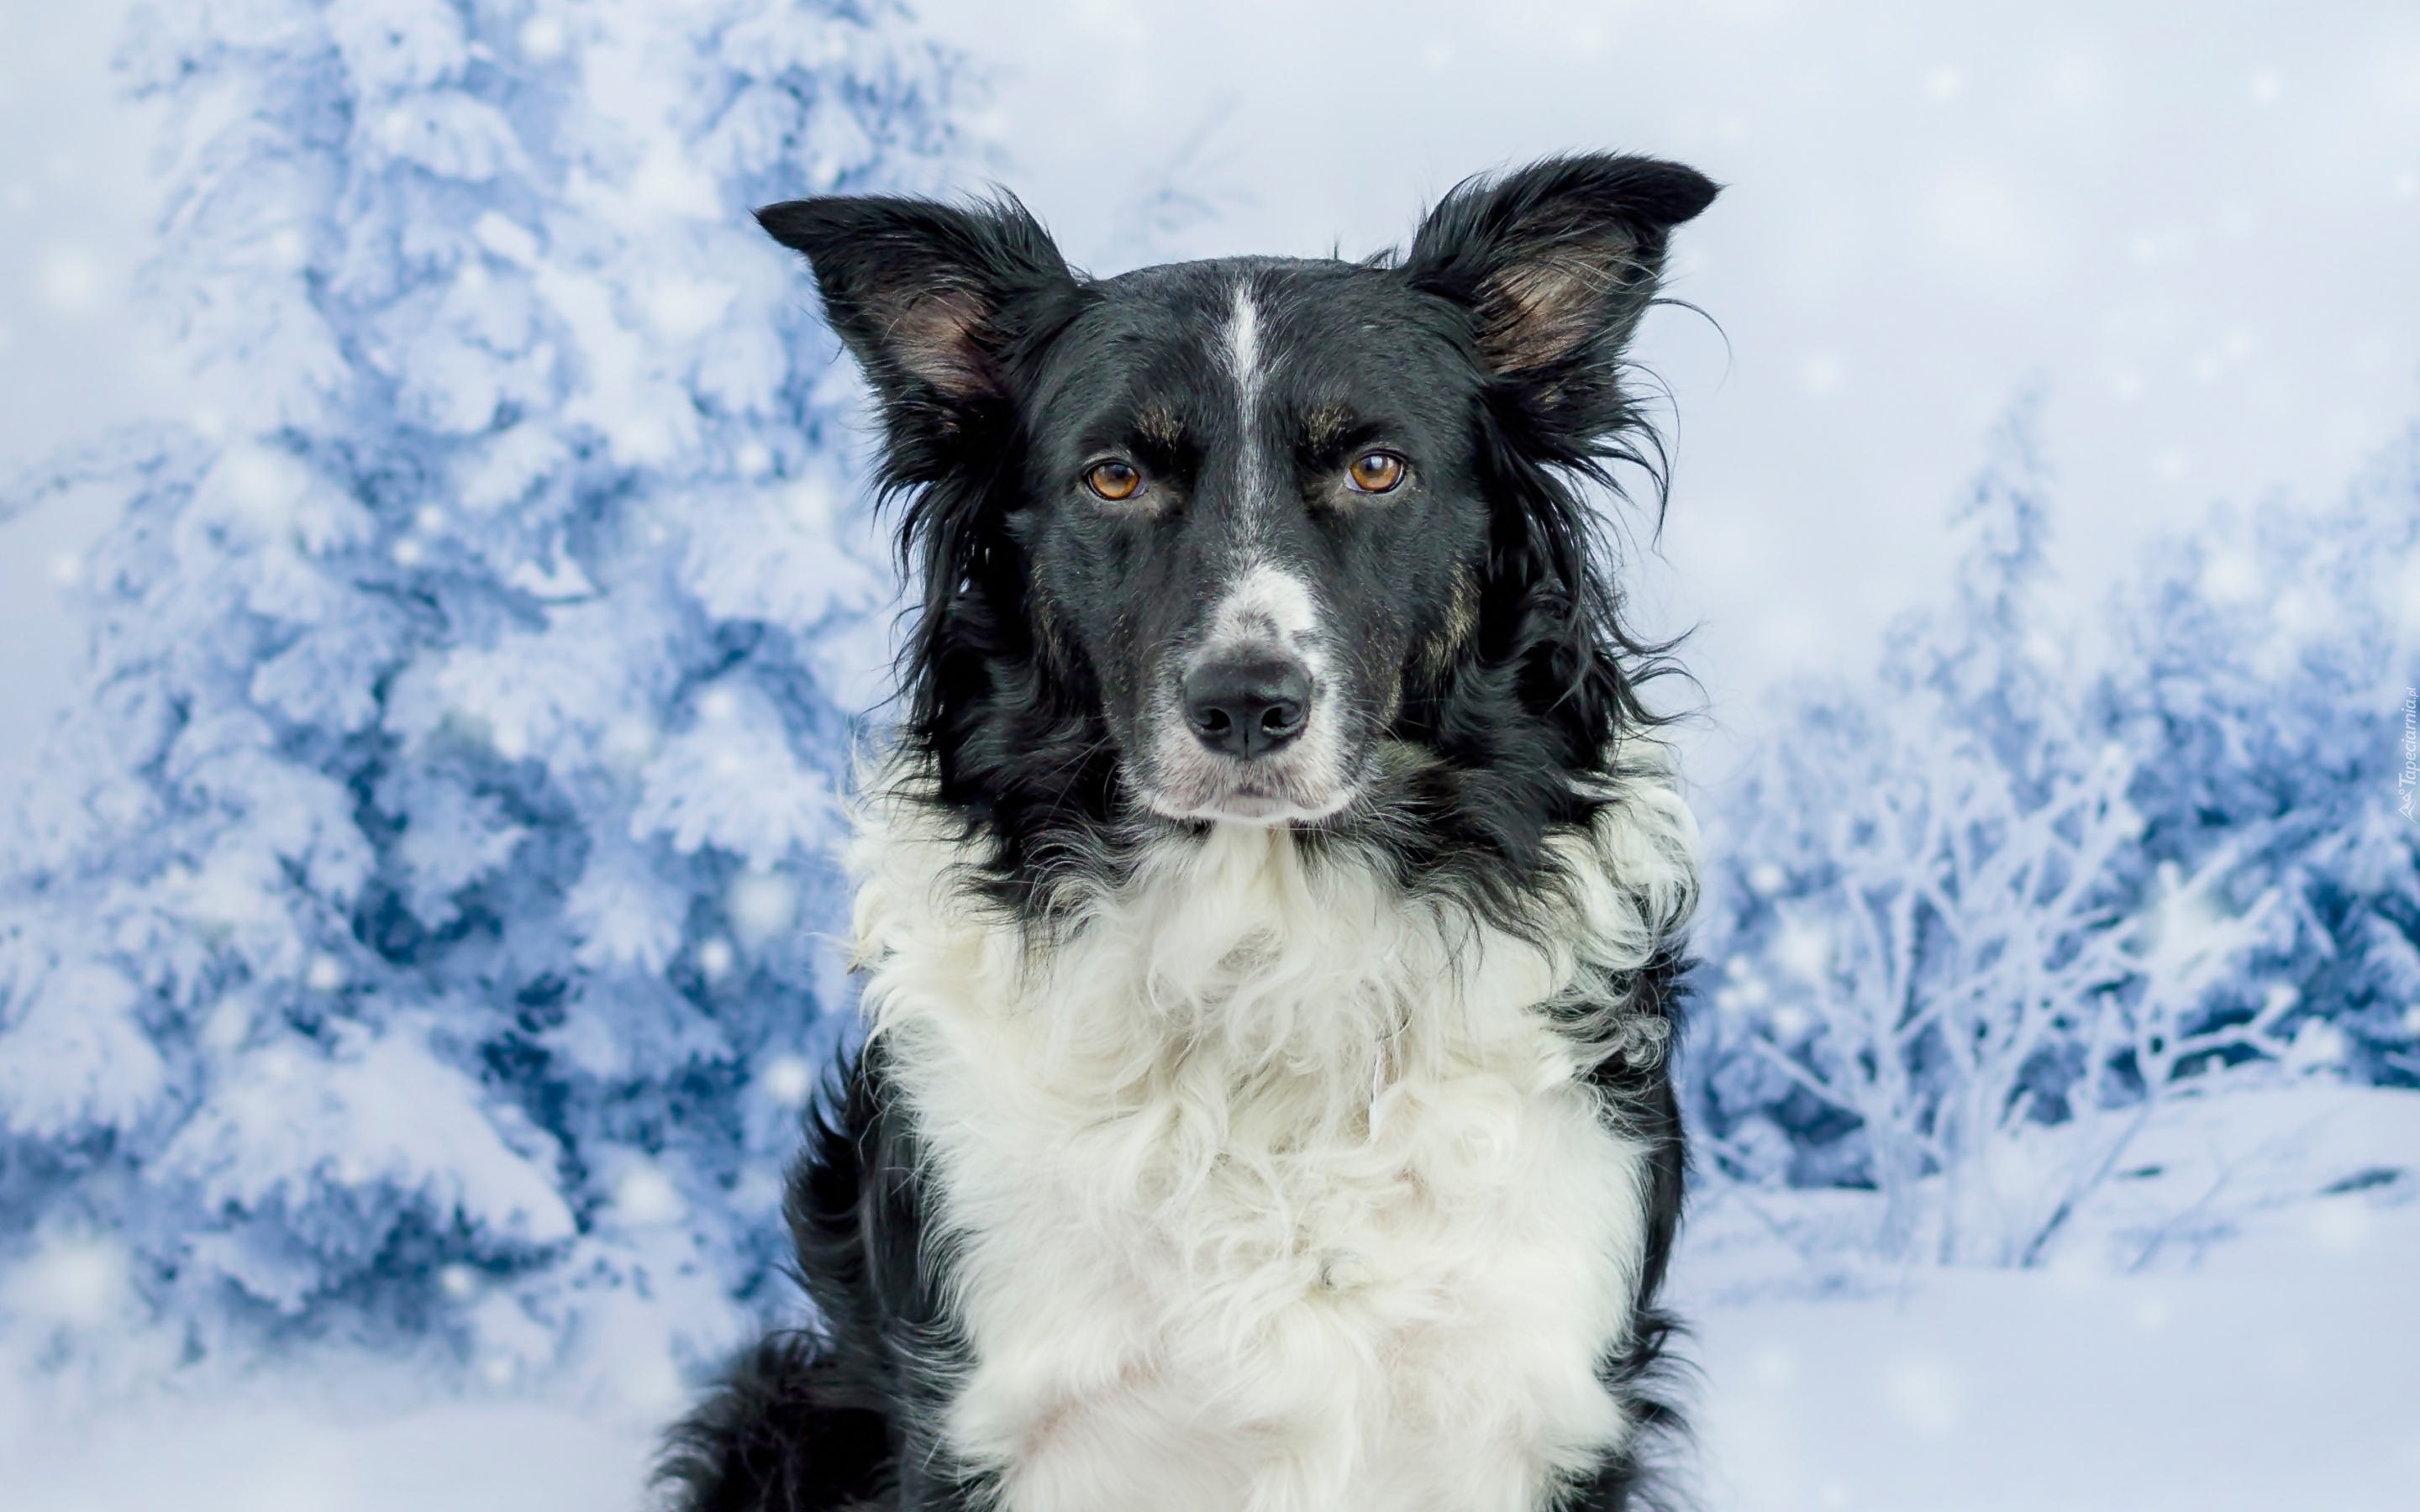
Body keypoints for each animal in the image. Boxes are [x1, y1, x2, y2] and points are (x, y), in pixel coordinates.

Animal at [663, 153, 1713, 1509]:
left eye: (1377, 469)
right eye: (1115, 476)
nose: (1248, 704)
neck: (1265, 950)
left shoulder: (1530, 1405)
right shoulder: (993, 1422)